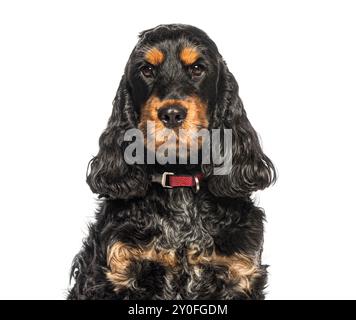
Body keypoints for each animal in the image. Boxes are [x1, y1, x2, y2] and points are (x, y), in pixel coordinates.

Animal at [68, 23, 276, 298]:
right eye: (146, 70)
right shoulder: (118, 270)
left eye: (197, 68)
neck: (179, 181)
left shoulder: (238, 273)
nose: (172, 114)